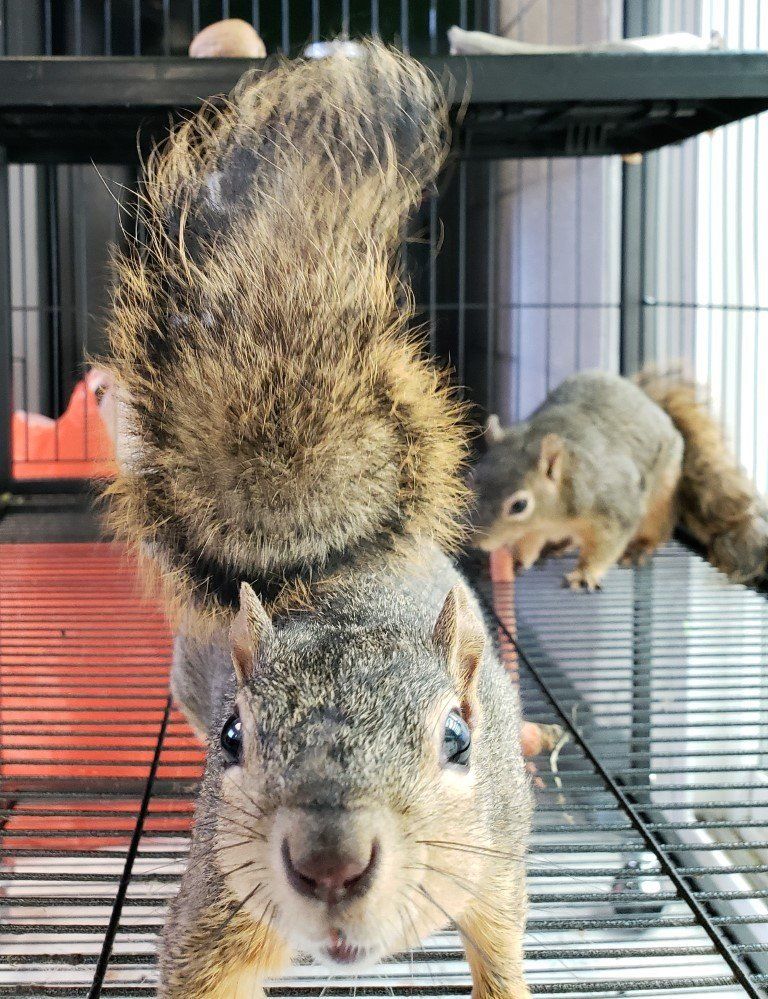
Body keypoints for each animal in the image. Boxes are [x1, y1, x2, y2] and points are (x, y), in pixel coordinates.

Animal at [102, 43, 533, 999]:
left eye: (458, 737)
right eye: (236, 738)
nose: (330, 861)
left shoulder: (499, 858)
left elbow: (501, 945)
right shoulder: (214, 911)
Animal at [471, 370, 768, 591]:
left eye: (519, 505)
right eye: (473, 480)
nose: (476, 543)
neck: (553, 516)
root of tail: (653, 405)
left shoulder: (613, 506)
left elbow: (606, 545)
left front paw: (584, 574)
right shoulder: (533, 530)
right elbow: (527, 545)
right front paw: (516, 561)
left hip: (661, 495)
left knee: (657, 527)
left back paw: (639, 547)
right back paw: (558, 545)